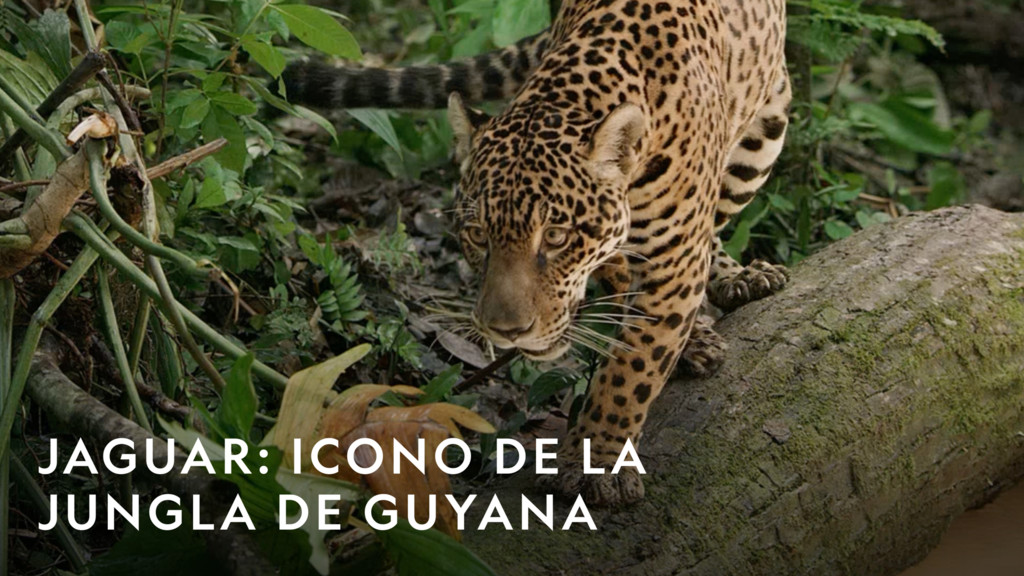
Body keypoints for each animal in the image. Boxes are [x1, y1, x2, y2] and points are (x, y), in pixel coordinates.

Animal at [281, 0, 791, 506]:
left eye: (558, 237)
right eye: (477, 235)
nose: (509, 332)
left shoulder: (674, 255)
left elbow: (632, 368)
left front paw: (597, 461)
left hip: (765, 136)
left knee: (717, 221)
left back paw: (735, 280)